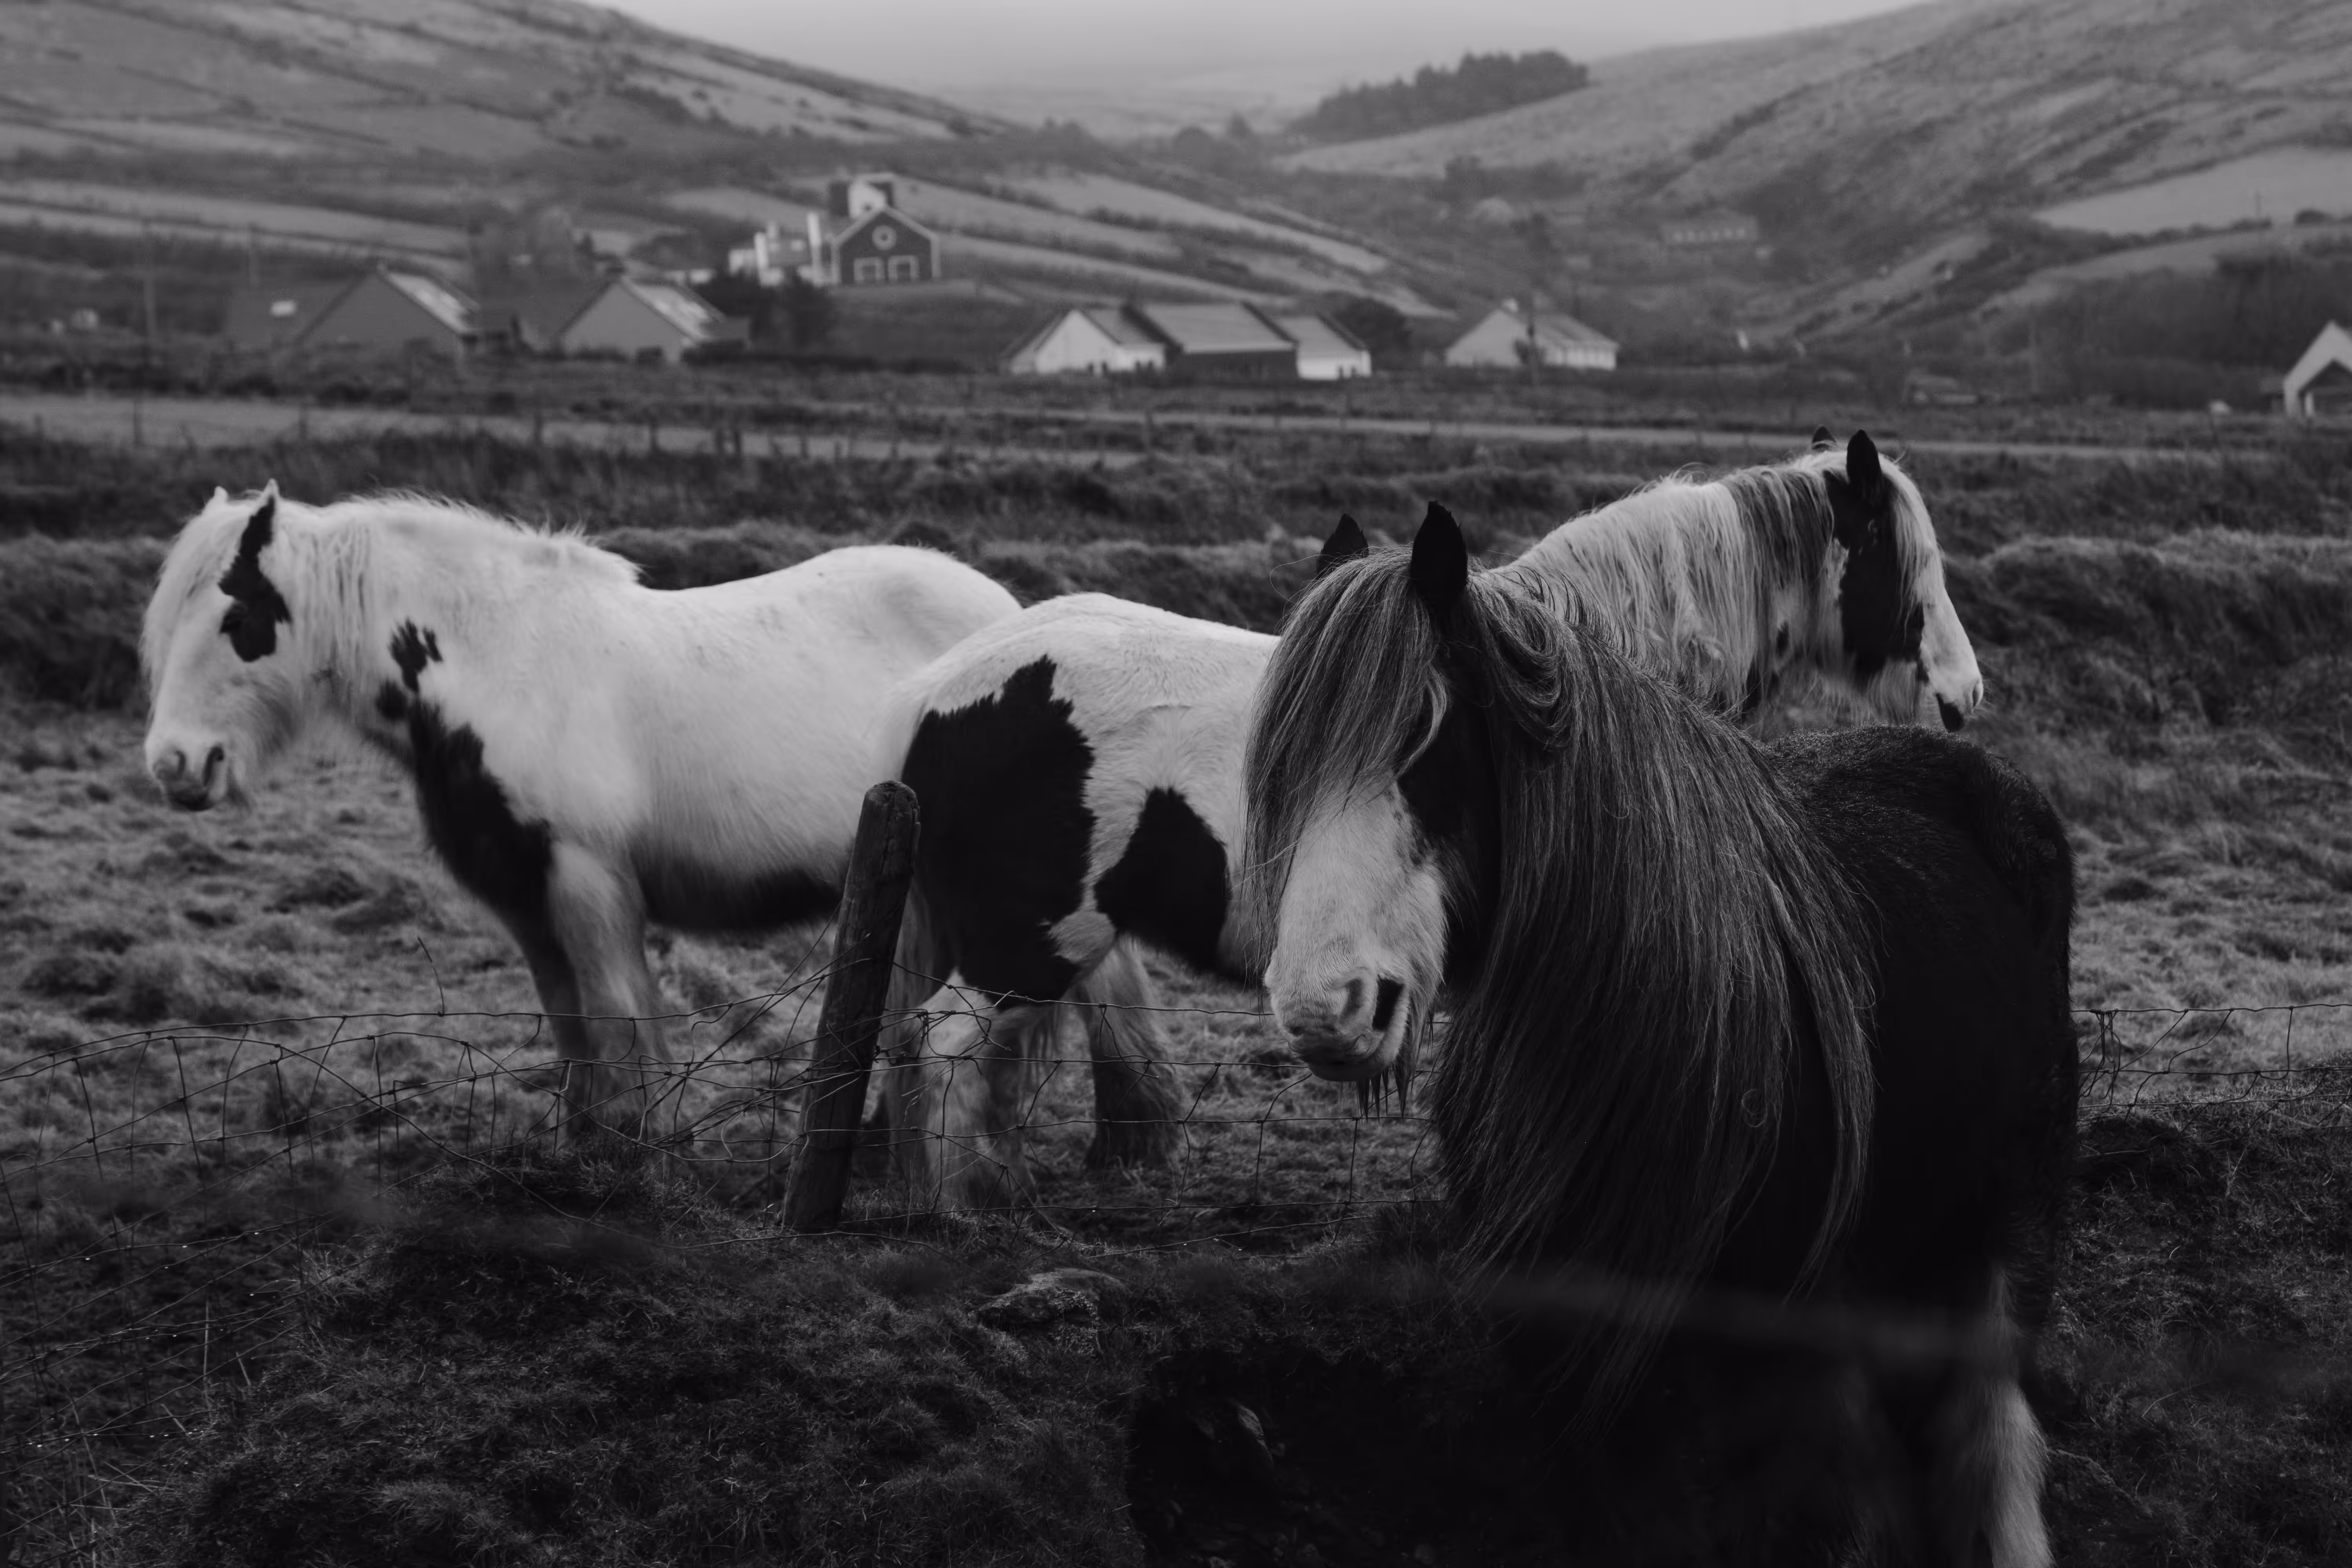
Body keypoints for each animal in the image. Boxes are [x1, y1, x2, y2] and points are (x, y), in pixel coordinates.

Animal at [140, 484, 1020, 1143]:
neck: (502, 667)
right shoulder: (525, 900)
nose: (175, 765)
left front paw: (640, 1153)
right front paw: (579, 1148)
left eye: (235, 617)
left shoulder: (588, 881)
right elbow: (574, 1037)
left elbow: (621, 1025)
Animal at [879, 430, 1986, 1207]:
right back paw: (952, 1210)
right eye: (1905, 562)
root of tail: (933, 693)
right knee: (941, 1047)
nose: (1966, 698)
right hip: (1023, 944)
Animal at [1241, 503, 2076, 1564]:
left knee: (1988, 1444)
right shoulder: (1572, 1374)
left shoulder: (1788, 1366)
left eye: (1426, 737)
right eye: (1286, 768)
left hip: (2003, 1230)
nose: (1324, 1001)